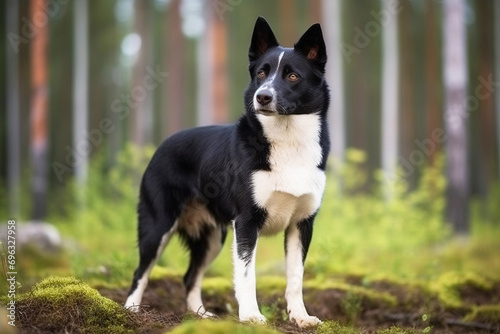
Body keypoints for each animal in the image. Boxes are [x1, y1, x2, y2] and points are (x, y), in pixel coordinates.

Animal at [125, 17, 330, 328]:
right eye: (261, 73)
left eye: (293, 76)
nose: (263, 96)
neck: (287, 140)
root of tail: (163, 145)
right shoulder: (246, 222)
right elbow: (247, 275)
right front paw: (251, 316)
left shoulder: (302, 224)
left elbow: (295, 277)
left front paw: (301, 317)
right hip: (158, 225)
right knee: (141, 272)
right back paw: (131, 311)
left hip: (212, 238)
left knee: (190, 277)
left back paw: (200, 315)